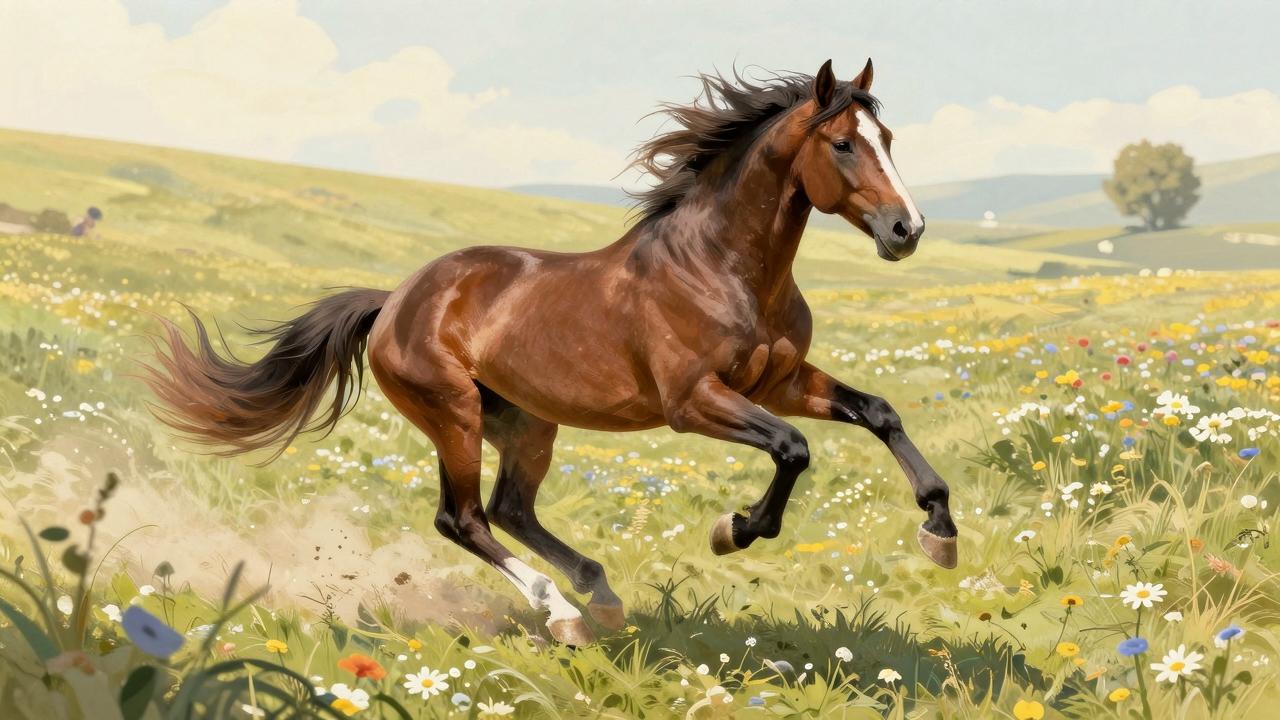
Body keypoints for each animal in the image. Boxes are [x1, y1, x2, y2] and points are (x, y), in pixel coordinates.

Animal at [145, 59, 957, 646]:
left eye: (889, 140)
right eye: (843, 144)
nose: (906, 230)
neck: (723, 266)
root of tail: (396, 299)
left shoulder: (781, 380)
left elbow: (879, 413)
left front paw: (939, 530)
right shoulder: (695, 402)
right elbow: (792, 449)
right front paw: (735, 530)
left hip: (528, 421)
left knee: (511, 508)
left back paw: (598, 594)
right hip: (454, 414)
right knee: (463, 519)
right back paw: (560, 611)